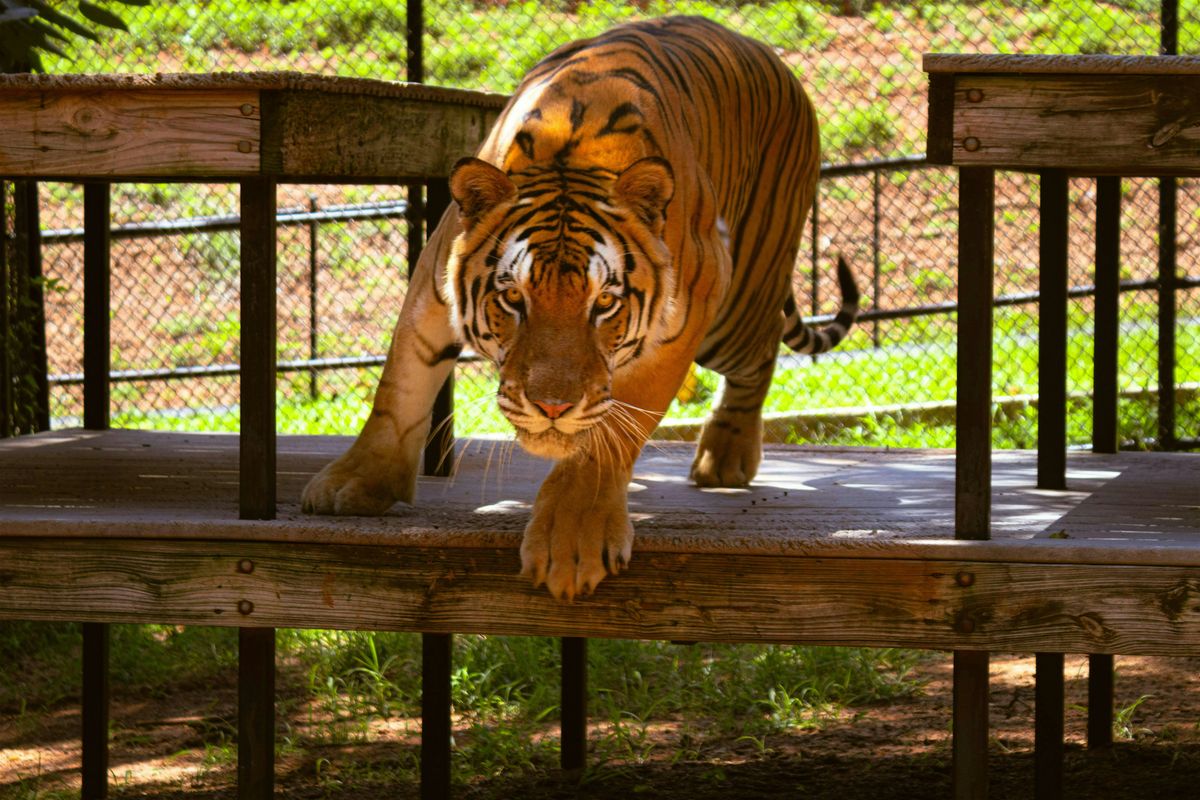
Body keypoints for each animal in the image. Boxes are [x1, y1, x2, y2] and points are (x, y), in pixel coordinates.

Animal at [301, 15, 860, 600]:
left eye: (605, 303)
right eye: (514, 297)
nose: (552, 407)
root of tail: (763, 49)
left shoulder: (686, 319)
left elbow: (609, 436)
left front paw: (569, 545)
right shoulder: (431, 285)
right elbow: (399, 388)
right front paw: (355, 482)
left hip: (736, 308)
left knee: (765, 348)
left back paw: (724, 456)